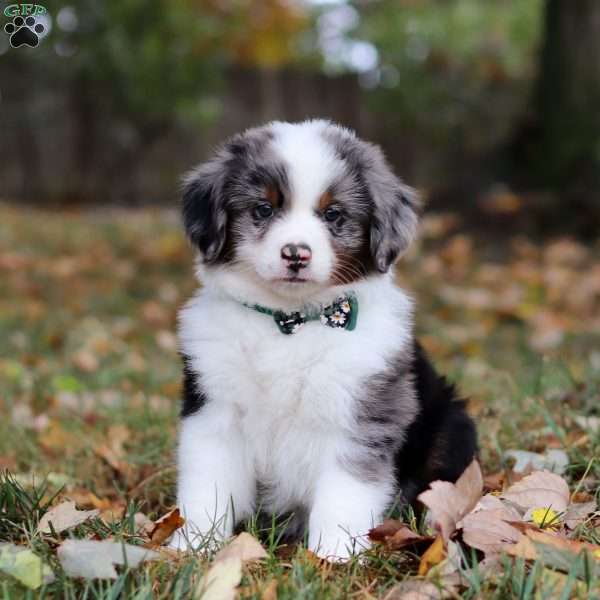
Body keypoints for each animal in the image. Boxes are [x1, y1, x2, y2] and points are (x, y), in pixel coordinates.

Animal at [170, 119, 478, 560]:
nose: (296, 253)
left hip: (453, 428)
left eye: (333, 214)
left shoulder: (361, 418)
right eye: (263, 209)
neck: (290, 322)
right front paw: (193, 545)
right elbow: (206, 484)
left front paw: (333, 556)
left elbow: (344, 494)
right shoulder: (214, 409)